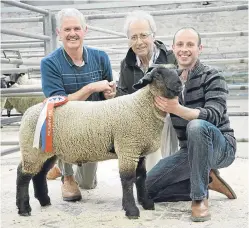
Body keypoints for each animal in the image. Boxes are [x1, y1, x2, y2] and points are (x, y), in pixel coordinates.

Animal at [16, 64, 182, 219]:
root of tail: (29, 111)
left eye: (177, 72)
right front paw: (131, 210)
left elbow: (141, 177)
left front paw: (146, 203)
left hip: (46, 151)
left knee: (39, 174)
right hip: (32, 149)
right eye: (158, 75)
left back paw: (44, 200)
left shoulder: (138, 151)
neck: (142, 106)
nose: (179, 84)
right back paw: (24, 209)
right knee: (23, 175)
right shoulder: (127, 147)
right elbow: (128, 179)